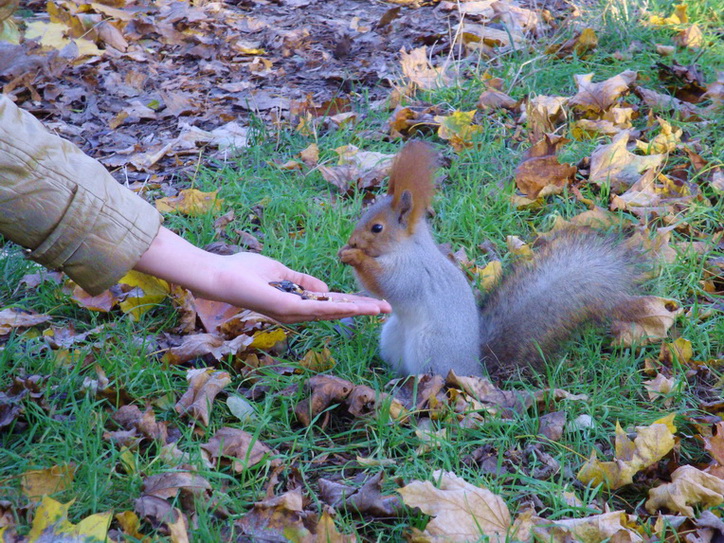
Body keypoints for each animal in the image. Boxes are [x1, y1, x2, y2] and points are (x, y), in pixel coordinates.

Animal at [340, 139, 644, 382]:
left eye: (377, 228)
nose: (352, 241)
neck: (406, 248)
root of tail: (474, 369)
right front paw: (347, 252)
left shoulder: (415, 272)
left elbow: (388, 284)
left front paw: (355, 257)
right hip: (392, 336)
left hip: (429, 348)